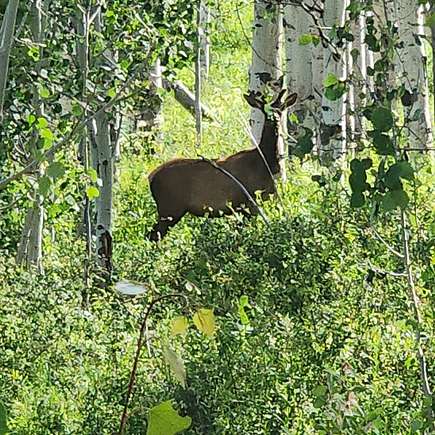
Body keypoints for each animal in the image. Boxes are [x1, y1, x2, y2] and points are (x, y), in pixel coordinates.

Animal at [148, 86, 298, 240]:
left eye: (281, 109)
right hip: (170, 208)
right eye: (265, 110)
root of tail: (151, 177)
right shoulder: (247, 202)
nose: (275, 119)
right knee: (153, 235)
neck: (266, 164)